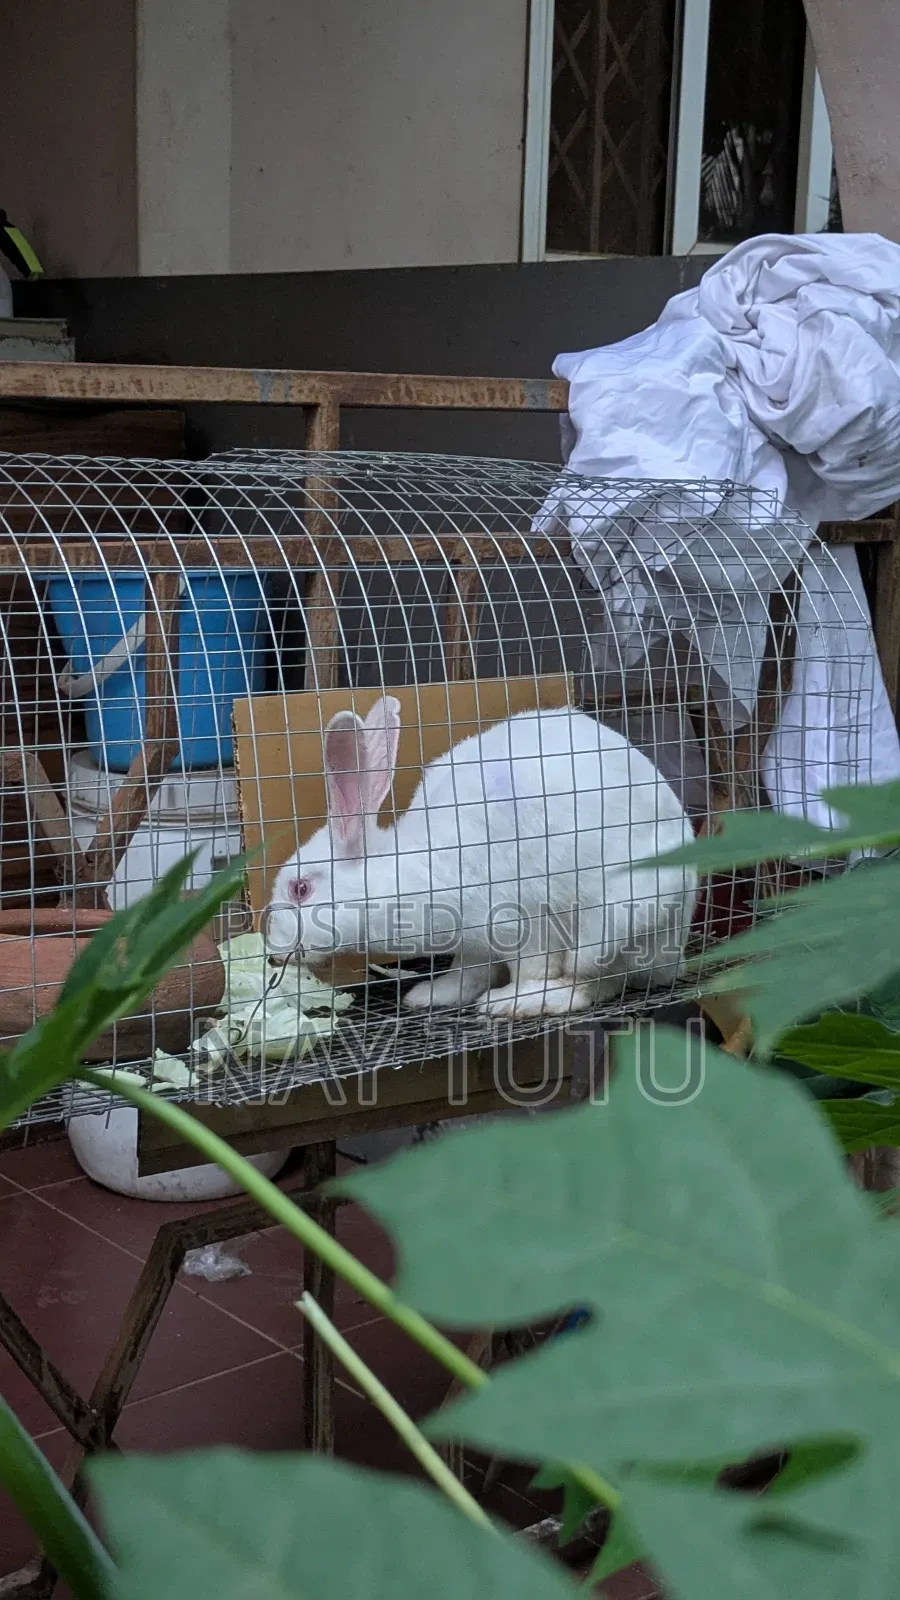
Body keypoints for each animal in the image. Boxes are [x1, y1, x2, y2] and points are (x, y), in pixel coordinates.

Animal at [265, 696, 698, 1020]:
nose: (273, 954)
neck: (408, 869)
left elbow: (534, 968)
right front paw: (433, 995)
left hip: (618, 922)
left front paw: (511, 998)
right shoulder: (472, 943)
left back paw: (524, 1002)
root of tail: (674, 958)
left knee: (593, 982)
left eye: (300, 888)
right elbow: (467, 973)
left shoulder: (526, 923)